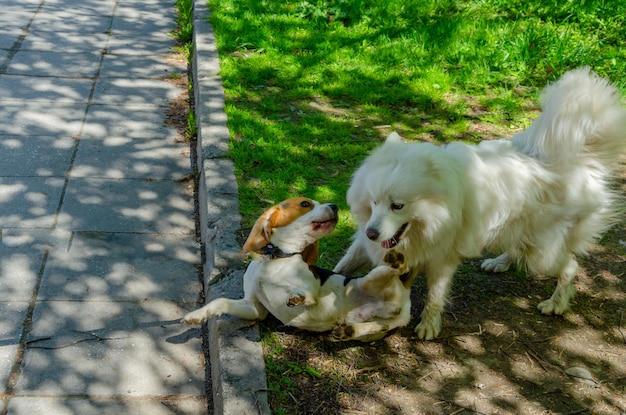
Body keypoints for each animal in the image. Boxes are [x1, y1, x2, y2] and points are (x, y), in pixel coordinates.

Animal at [183, 197, 412, 342]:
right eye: (305, 204)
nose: (335, 205)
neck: (276, 259)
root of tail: (404, 297)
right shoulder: (255, 308)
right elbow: (221, 302)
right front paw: (198, 315)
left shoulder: (312, 289)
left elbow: (307, 293)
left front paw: (297, 296)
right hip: (372, 318)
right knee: (380, 325)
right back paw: (349, 331)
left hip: (369, 279)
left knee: (397, 269)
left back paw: (398, 262)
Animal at [332, 67, 624, 342]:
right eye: (374, 201)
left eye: (398, 206)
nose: (372, 232)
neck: (433, 215)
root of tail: (559, 160)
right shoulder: (366, 244)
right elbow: (344, 265)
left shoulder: (442, 257)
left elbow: (435, 295)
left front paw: (429, 326)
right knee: (519, 248)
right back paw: (500, 262)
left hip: (542, 255)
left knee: (569, 266)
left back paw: (556, 304)